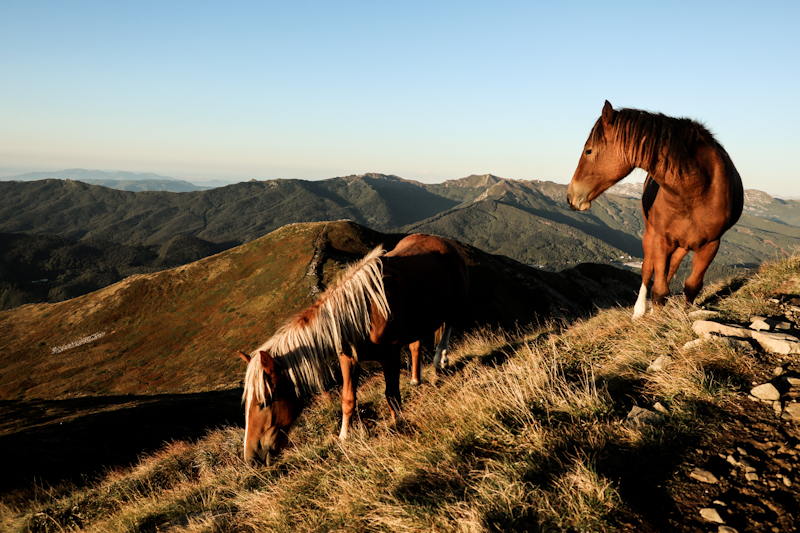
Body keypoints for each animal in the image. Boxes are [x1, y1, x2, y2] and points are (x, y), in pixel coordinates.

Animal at [242, 235, 468, 464]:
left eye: (265, 401)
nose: (251, 457)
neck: (360, 315)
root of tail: (441, 240)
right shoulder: (348, 359)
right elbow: (348, 399)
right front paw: (344, 436)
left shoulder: (390, 355)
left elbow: (391, 394)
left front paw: (398, 425)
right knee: (416, 344)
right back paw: (415, 379)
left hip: (456, 301)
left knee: (448, 325)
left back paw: (441, 359)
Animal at [568, 101, 744, 316]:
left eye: (589, 151)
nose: (571, 197)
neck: (694, 189)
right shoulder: (661, 239)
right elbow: (659, 290)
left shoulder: (711, 245)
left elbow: (691, 286)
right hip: (650, 233)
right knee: (647, 269)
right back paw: (640, 310)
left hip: (684, 244)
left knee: (672, 267)